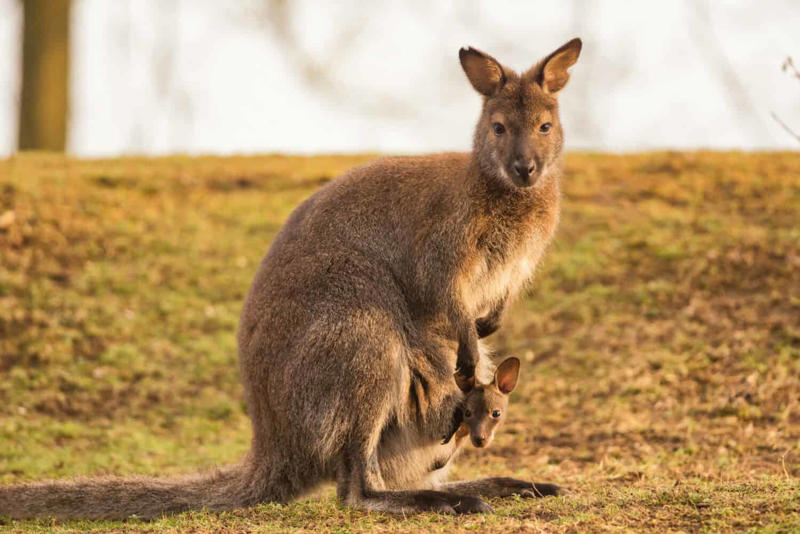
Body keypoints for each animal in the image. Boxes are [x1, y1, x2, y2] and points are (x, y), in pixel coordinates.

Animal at [0, 37, 581, 519]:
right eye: (499, 128)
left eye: (545, 127)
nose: (527, 168)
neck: (504, 192)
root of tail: (274, 443)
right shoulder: (442, 253)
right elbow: (448, 302)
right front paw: (468, 336)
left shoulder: (514, 268)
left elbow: (491, 311)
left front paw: (486, 325)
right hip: (360, 330)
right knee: (355, 490)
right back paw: (450, 499)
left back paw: (506, 486)